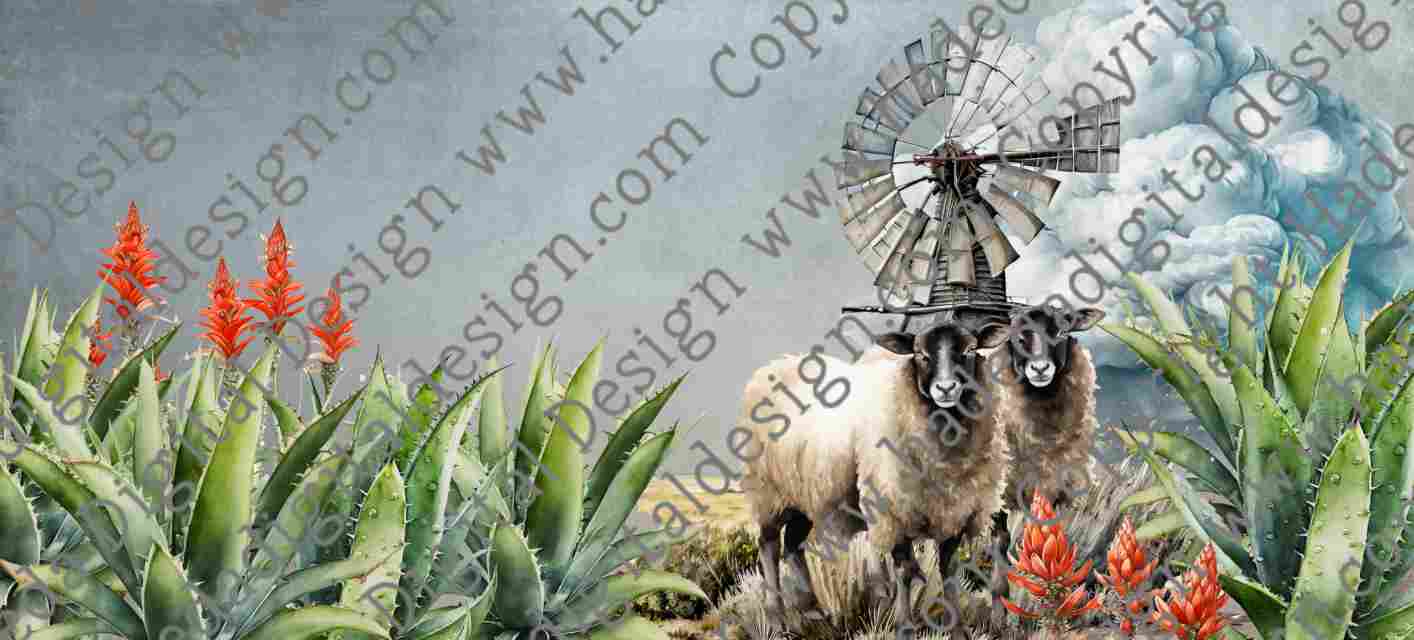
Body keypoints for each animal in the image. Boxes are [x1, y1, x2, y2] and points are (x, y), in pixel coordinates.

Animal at [737, 317, 1013, 629]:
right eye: (921, 355)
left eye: (969, 350)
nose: (945, 388)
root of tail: (772, 367)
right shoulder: (891, 511)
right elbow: (905, 571)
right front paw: (904, 625)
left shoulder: (958, 510)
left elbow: (949, 570)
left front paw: (957, 629)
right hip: (768, 493)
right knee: (769, 547)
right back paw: (776, 620)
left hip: (806, 496)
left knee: (793, 546)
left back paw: (814, 613)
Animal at [983, 304, 1106, 616]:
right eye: (1017, 337)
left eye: (1061, 331)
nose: (1040, 368)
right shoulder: (999, 493)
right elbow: (1001, 542)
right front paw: (999, 608)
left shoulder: (1057, 489)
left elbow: (1049, 536)